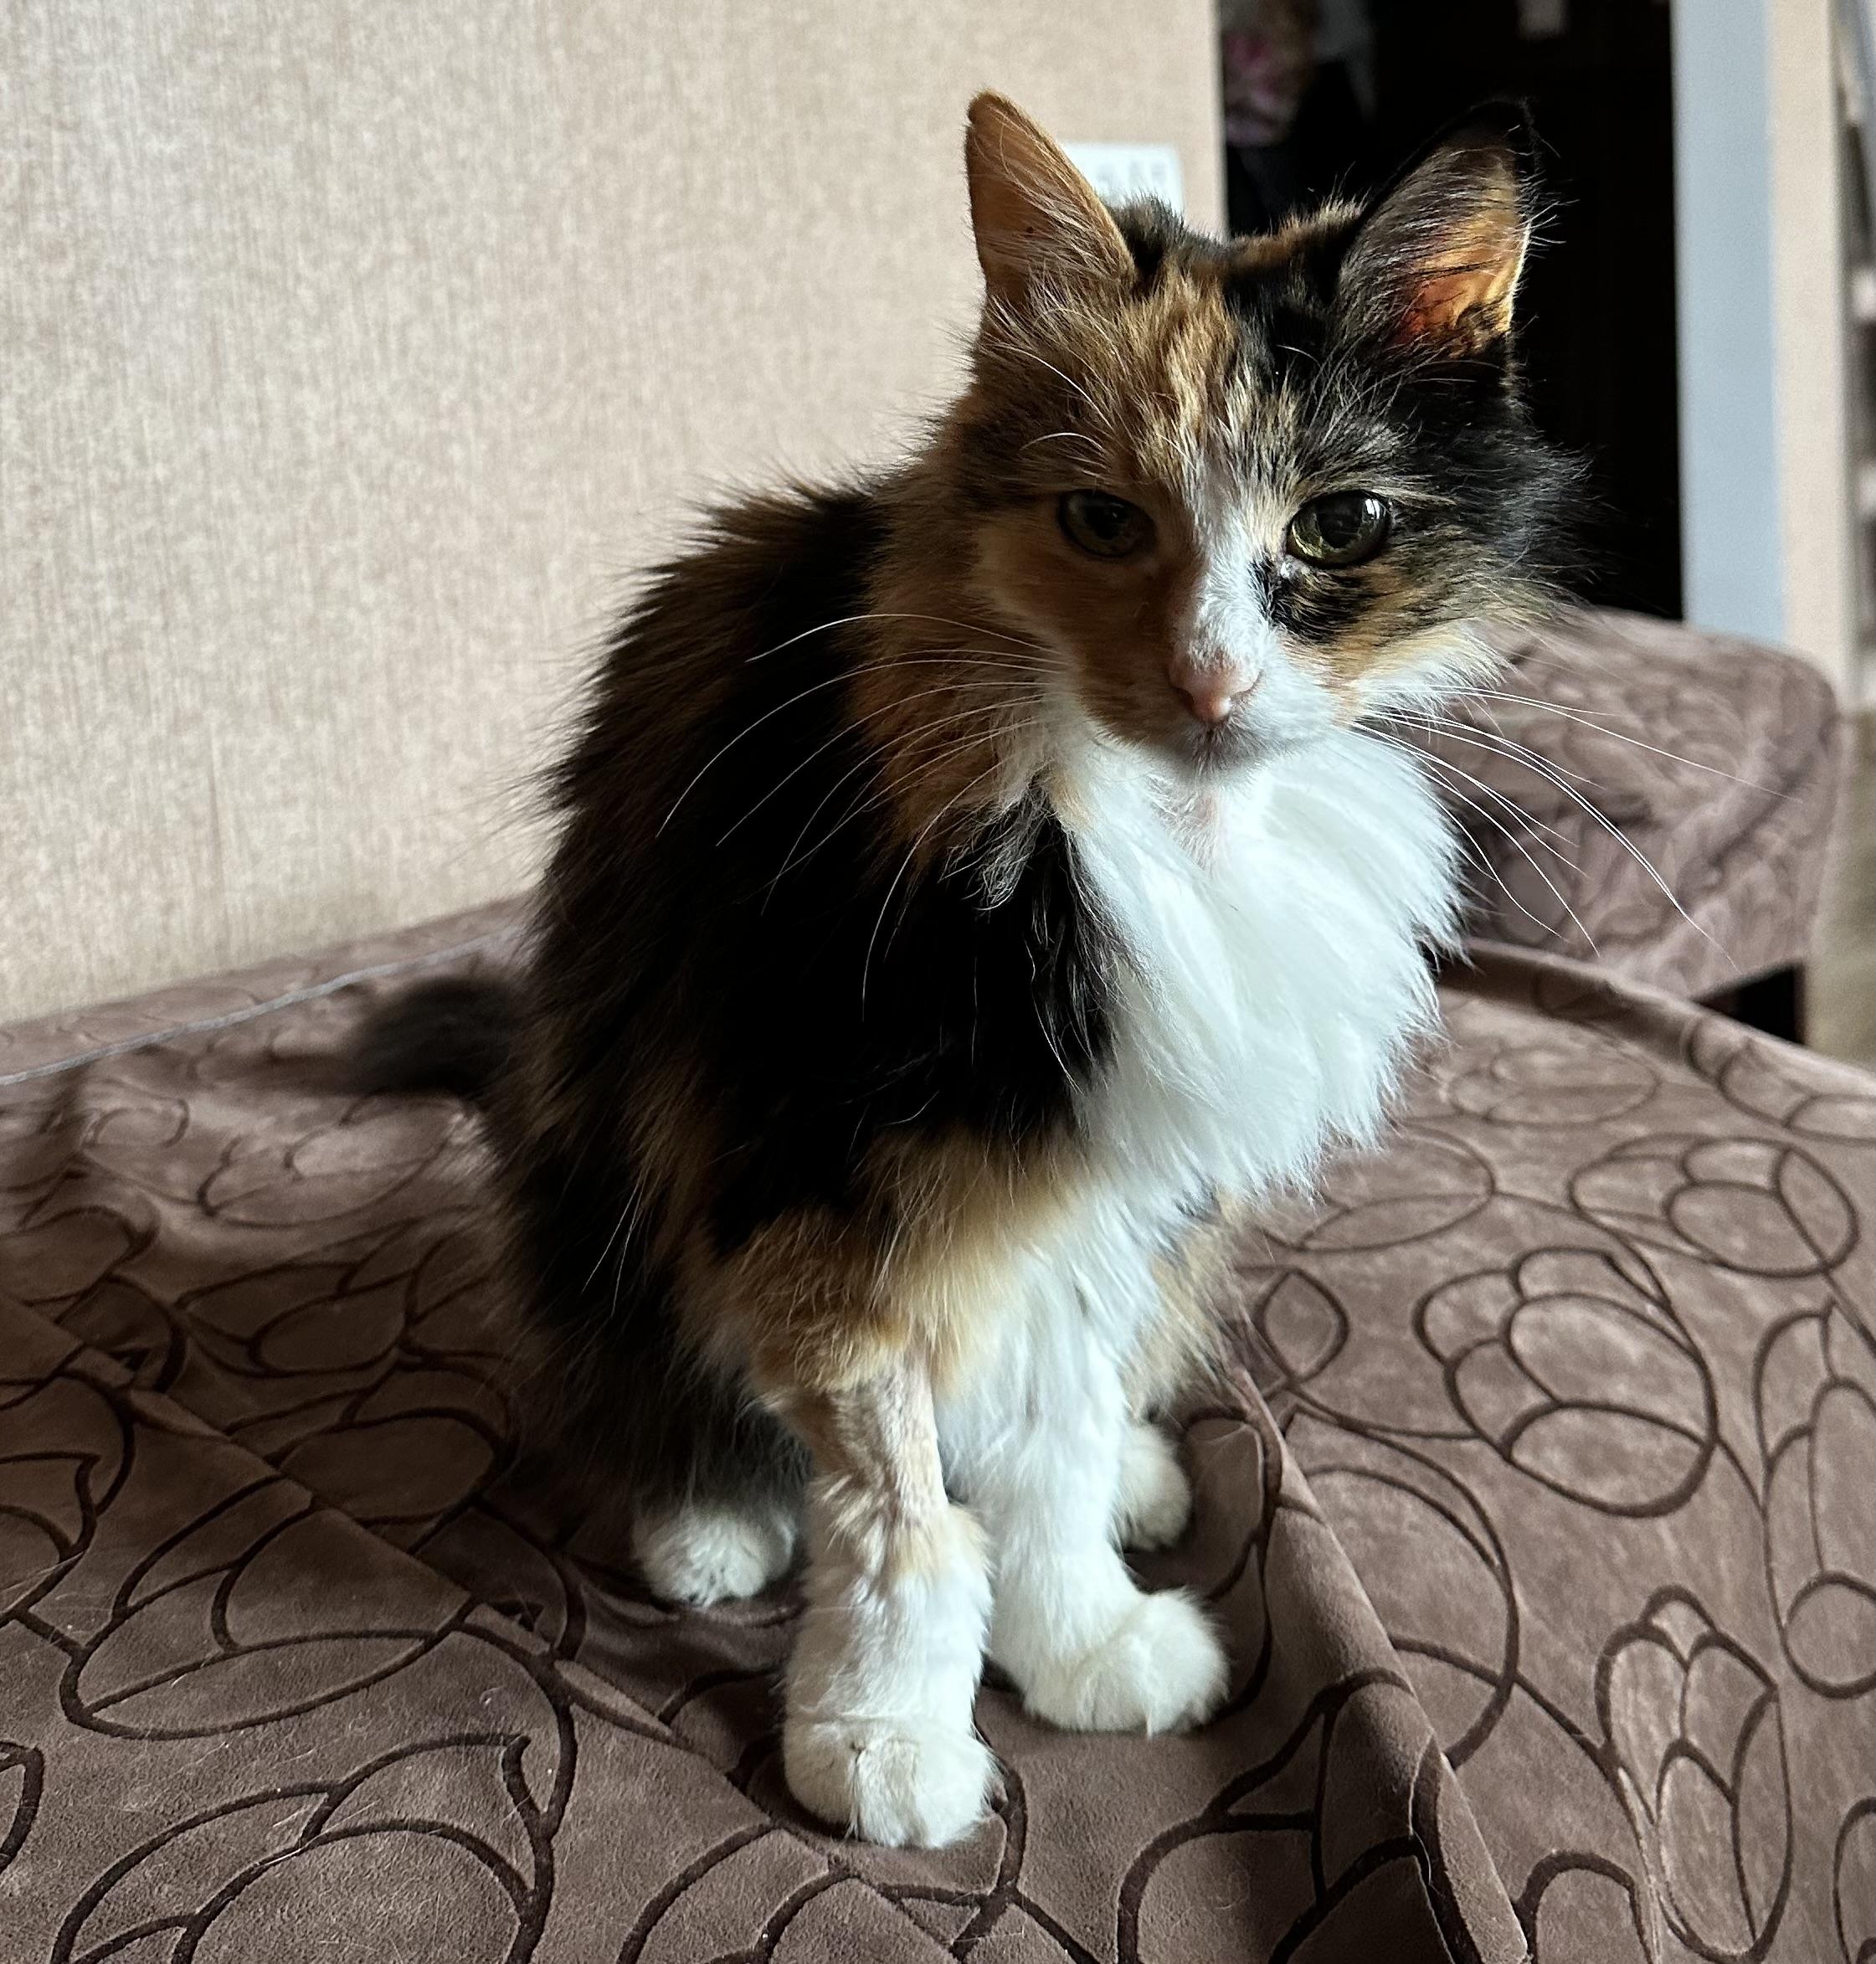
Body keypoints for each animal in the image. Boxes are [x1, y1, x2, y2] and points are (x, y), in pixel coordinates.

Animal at [352, 88, 1571, 1838]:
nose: (1209, 681)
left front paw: (1084, 1640)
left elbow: (1045, 1459)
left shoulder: (1103, 1192)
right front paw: (881, 1741)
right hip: (602, 1164)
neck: (1167, 830)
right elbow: (902, 1520)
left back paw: (1134, 1474)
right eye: (1100, 521)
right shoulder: (811, 1178)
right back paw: (709, 1525)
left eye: (1338, 523)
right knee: (649, 1384)